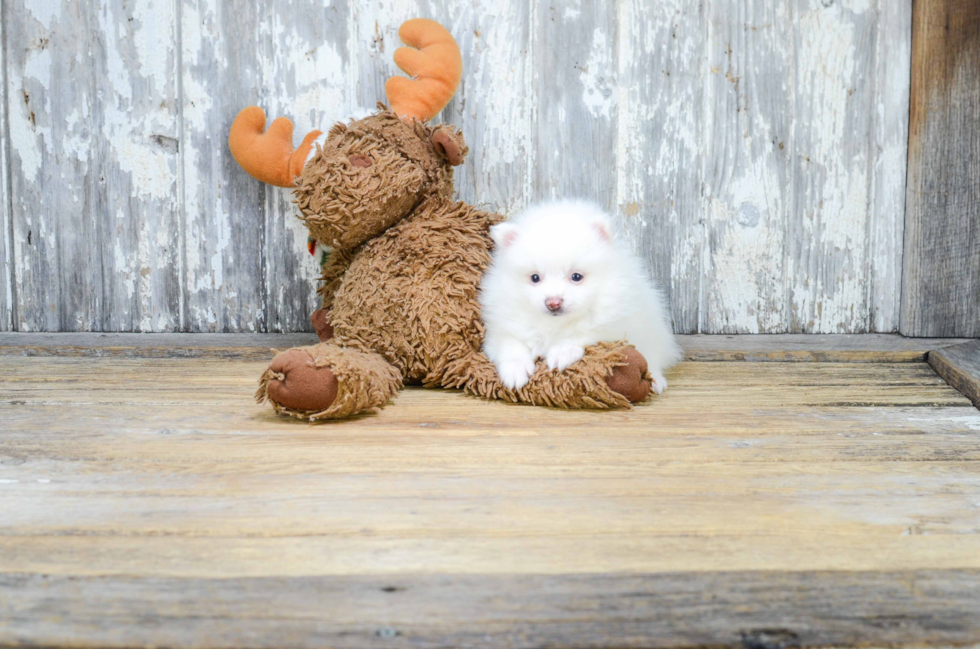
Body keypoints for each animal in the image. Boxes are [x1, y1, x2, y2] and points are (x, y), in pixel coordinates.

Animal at [480, 201, 680, 394]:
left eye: (576, 276)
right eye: (535, 278)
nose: (553, 302)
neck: (555, 323)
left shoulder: (615, 324)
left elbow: (584, 332)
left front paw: (562, 352)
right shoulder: (502, 327)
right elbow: (510, 344)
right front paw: (515, 370)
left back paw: (656, 380)